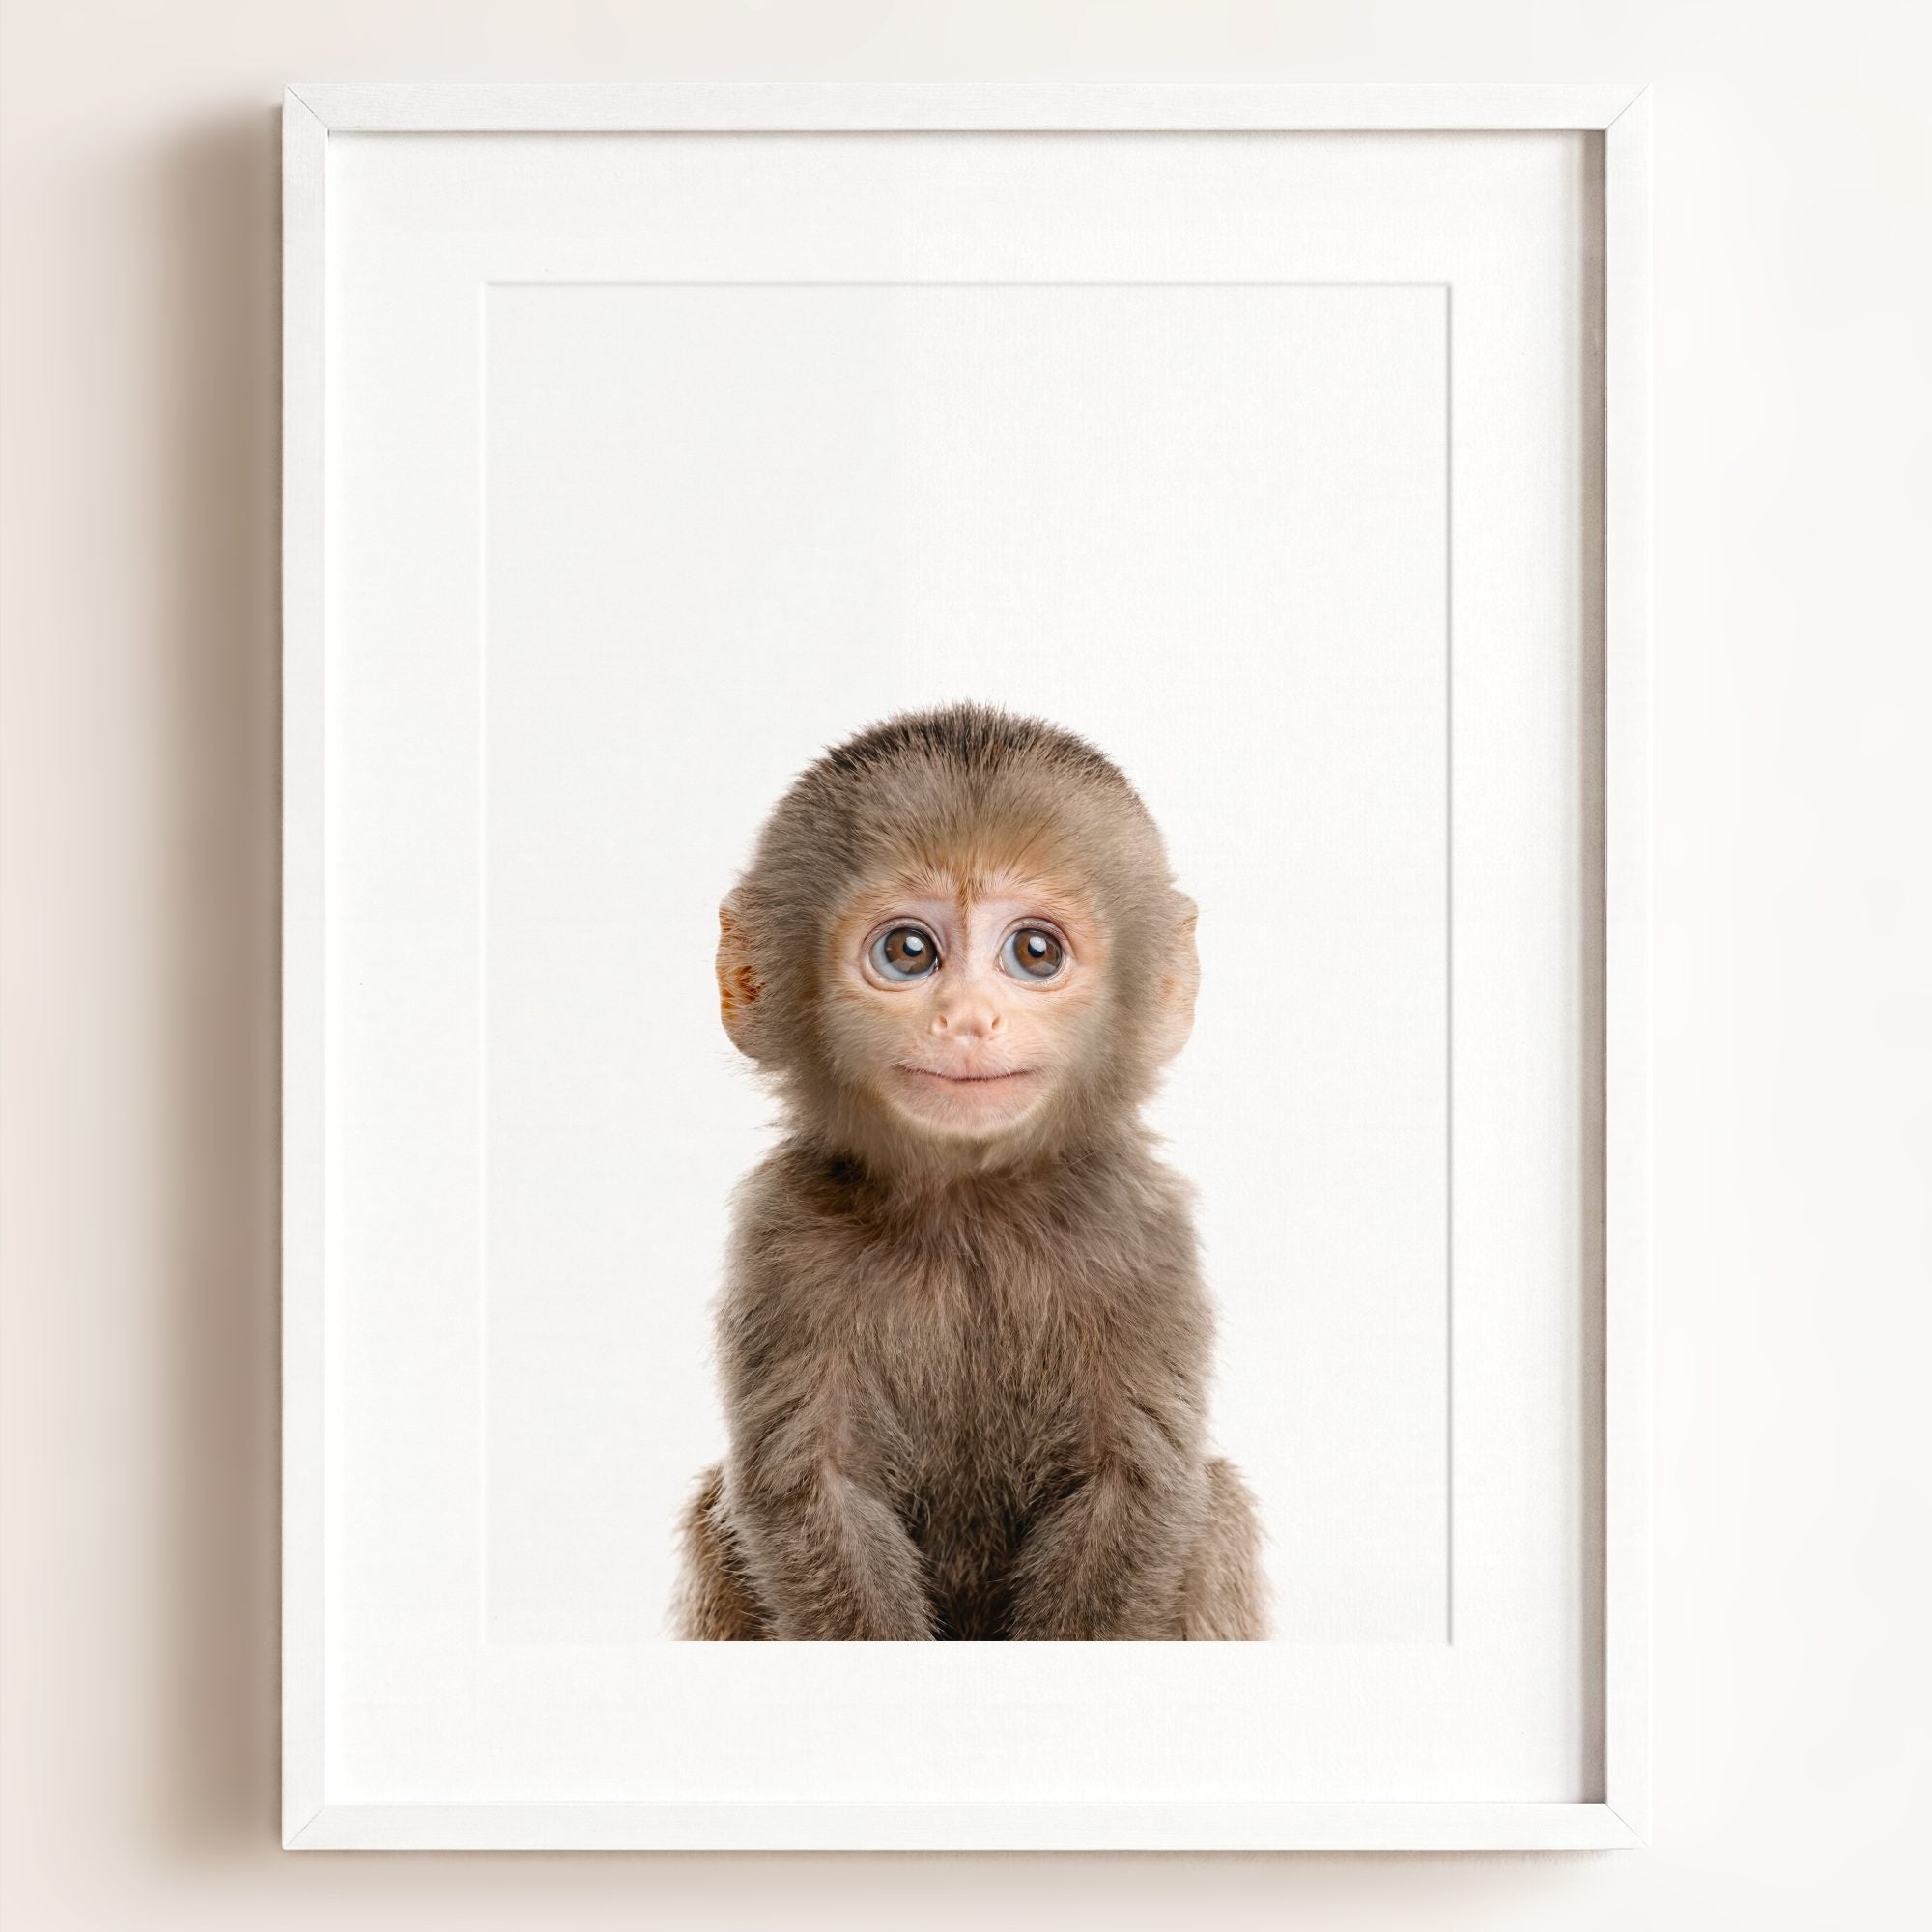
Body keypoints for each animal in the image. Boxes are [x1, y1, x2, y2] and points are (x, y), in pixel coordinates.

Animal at [673, 703, 1266, 1641]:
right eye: (910, 952)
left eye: (1035, 952)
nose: (968, 1019)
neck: (968, 1208)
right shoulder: (781, 1235)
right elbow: (813, 1490)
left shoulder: (1142, 1231)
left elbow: (1133, 1485)